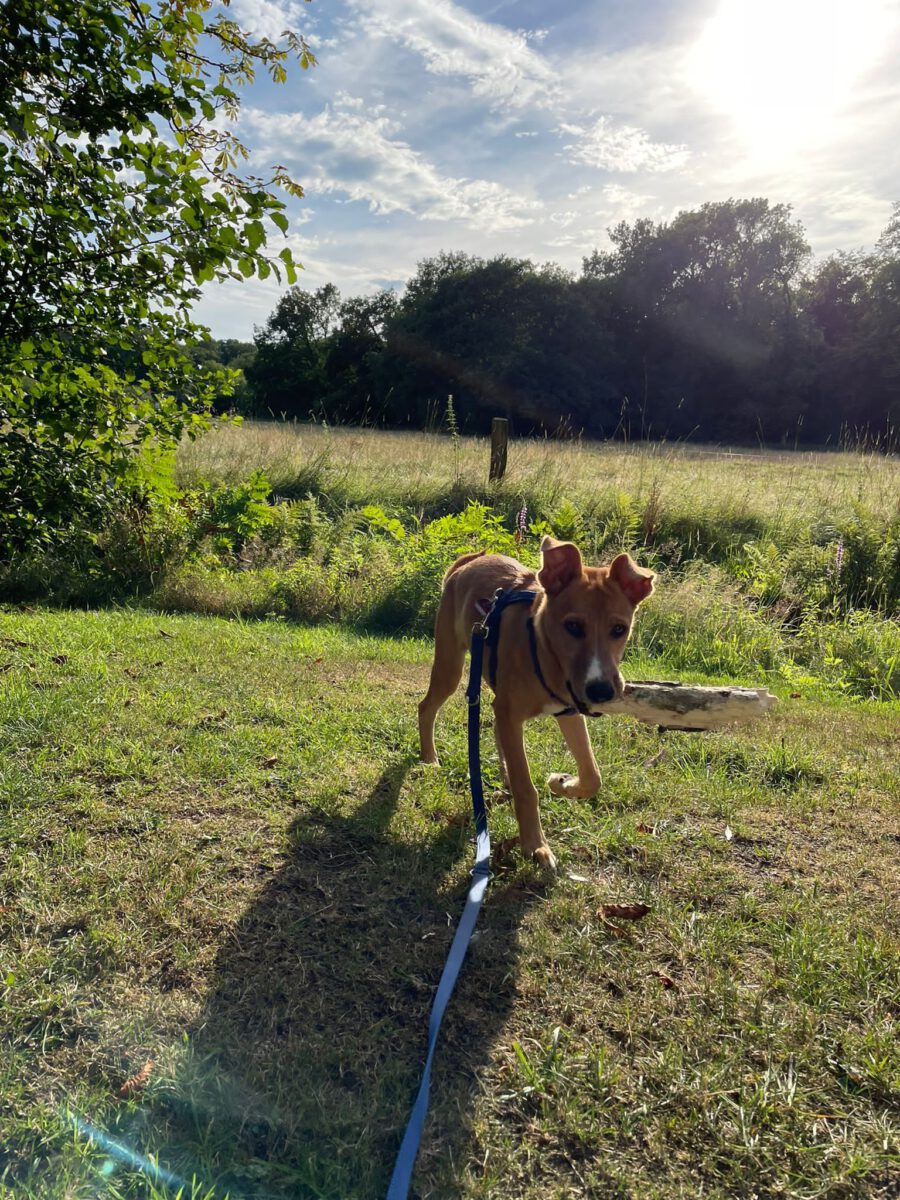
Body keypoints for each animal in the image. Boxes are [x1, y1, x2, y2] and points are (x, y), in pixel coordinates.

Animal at [418, 536, 655, 871]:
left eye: (619, 629)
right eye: (573, 626)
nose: (601, 691)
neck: (543, 653)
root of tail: (470, 561)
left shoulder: (569, 712)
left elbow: (593, 775)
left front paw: (562, 783)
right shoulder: (511, 712)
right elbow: (526, 788)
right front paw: (535, 845)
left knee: (496, 733)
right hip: (450, 666)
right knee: (426, 707)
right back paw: (429, 759)